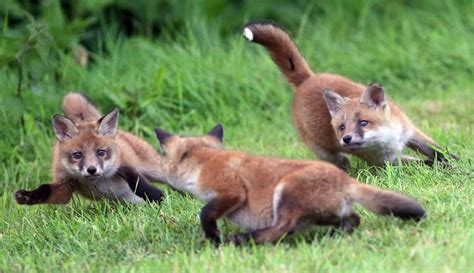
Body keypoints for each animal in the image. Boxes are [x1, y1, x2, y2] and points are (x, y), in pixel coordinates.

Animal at [14, 93, 166, 204]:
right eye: (77, 155)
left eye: (101, 152)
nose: (91, 169)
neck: (98, 180)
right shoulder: (65, 184)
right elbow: (46, 189)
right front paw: (29, 196)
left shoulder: (123, 164)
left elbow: (135, 180)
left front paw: (156, 195)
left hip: (156, 170)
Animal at [154, 123, 424, 244]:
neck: (207, 161)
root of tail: (345, 180)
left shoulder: (232, 192)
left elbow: (205, 212)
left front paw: (214, 238)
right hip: (328, 212)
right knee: (353, 219)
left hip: (286, 194)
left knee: (283, 227)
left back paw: (246, 239)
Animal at [243, 22, 458, 169]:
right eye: (341, 127)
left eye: (364, 122)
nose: (346, 139)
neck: (388, 138)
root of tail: (306, 80)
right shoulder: (386, 162)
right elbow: (426, 162)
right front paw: (447, 167)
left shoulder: (411, 132)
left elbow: (437, 150)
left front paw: (456, 159)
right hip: (326, 153)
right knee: (340, 162)